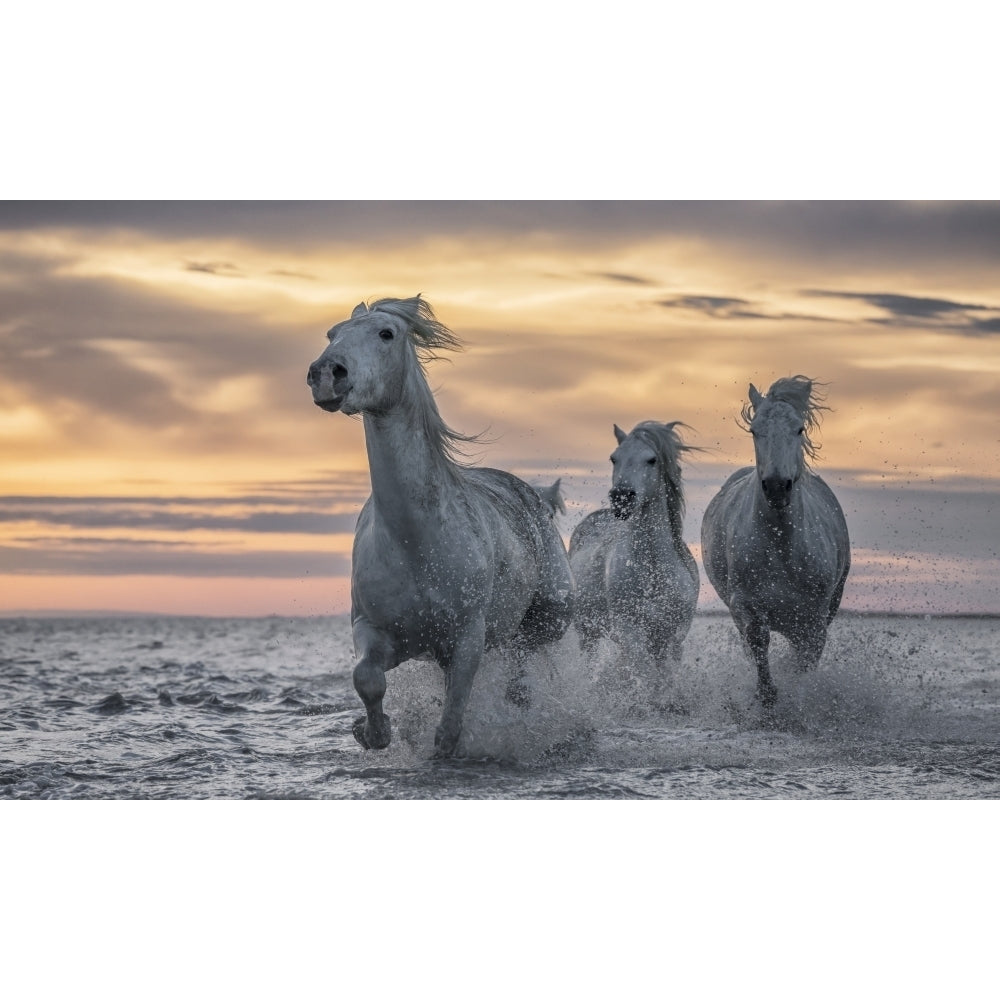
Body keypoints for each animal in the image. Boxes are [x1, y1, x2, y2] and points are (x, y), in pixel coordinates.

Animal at [304, 292, 576, 752]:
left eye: (386, 333)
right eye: (331, 333)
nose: (327, 375)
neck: (416, 542)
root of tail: (538, 497)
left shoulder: (466, 639)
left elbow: (449, 726)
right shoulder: (377, 631)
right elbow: (367, 679)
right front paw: (372, 732)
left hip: (550, 618)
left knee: (523, 661)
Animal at [568, 418, 700, 676]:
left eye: (652, 459)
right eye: (614, 458)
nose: (621, 497)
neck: (653, 570)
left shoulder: (670, 638)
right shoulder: (630, 633)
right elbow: (644, 672)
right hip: (588, 634)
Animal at [696, 376, 852, 704]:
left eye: (799, 429)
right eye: (755, 430)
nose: (778, 487)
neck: (782, 546)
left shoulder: (815, 618)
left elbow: (806, 659)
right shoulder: (745, 605)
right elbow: (758, 642)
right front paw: (768, 697)